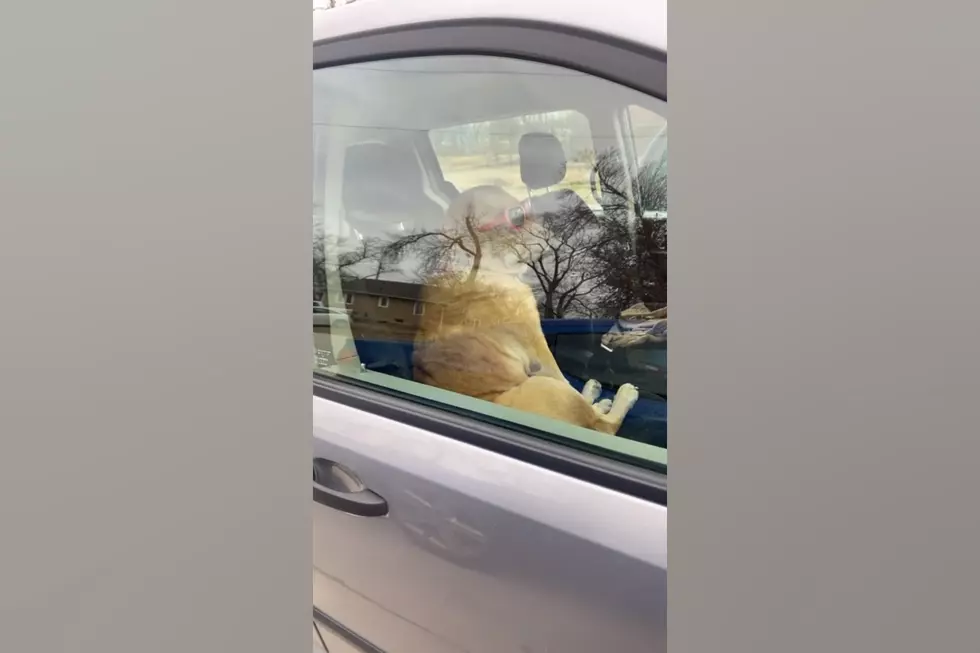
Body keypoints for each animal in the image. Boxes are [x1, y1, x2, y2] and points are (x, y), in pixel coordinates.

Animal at [410, 186, 640, 436]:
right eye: (517, 218)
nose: (546, 227)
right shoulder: (536, 343)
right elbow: (562, 377)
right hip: (544, 387)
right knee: (602, 425)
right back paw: (619, 398)